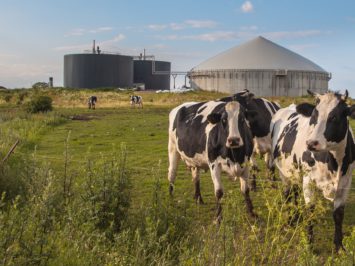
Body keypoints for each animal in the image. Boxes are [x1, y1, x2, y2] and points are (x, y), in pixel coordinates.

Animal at [272, 90, 354, 250]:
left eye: (334, 117)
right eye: (314, 116)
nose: (311, 143)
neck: (334, 163)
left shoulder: (346, 183)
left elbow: (338, 214)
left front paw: (339, 246)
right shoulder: (309, 180)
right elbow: (310, 210)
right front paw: (309, 244)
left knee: (295, 191)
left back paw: (296, 217)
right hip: (283, 172)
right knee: (287, 194)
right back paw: (290, 220)